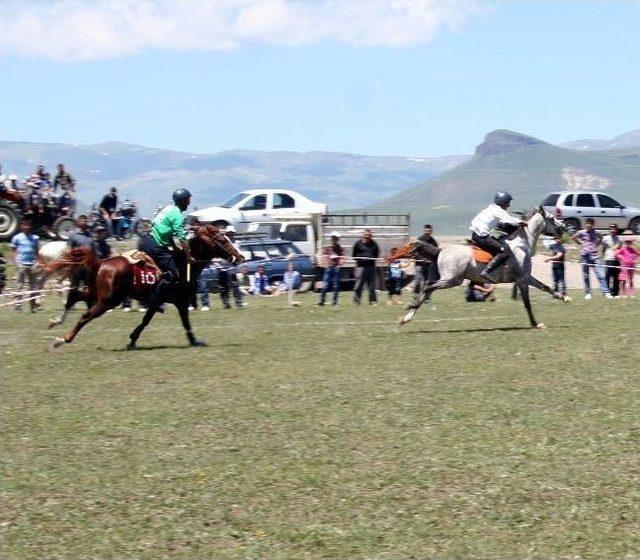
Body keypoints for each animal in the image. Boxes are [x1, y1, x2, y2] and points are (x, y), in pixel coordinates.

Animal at [46, 224, 244, 348]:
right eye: (223, 240)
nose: (240, 256)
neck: (185, 263)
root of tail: (100, 262)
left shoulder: (161, 302)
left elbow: (148, 320)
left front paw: (133, 340)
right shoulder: (177, 301)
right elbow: (181, 321)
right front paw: (194, 341)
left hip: (98, 294)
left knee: (73, 297)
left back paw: (55, 321)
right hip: (108, 301)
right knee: (84, 316)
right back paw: (61, 340)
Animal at [396, 206, 568, 328]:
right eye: (551, 218)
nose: (564, 226)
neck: (521, 243)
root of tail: (441, 250)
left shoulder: (526, 277)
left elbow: (545, 287)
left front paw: (564, 297)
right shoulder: (521, 279)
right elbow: (527, 302)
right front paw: (535, 323)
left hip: (447, 279)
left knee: (427, 289)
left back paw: (406, 318)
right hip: (452, 280)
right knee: (427, 288)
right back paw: (411, 307)